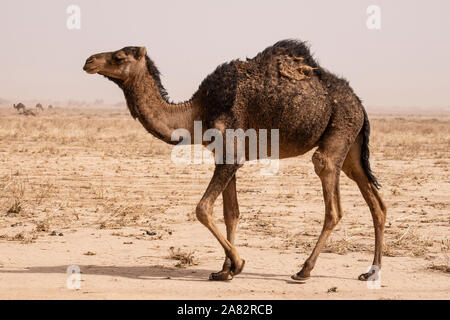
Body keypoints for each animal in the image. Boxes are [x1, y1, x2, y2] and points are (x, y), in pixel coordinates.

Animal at [84, 40, 386, 282]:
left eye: (119, 57)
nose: (89, 61)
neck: (196, 111)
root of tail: (360, 104)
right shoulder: (223, 154)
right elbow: (231, 213)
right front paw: (224, 270)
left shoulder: (231, 152)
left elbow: (203, 209)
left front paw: (238, 264)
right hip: (351, 146)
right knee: (376, 202)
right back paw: (371, 271)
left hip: (340, 127)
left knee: (331, 195)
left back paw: (304, 270)